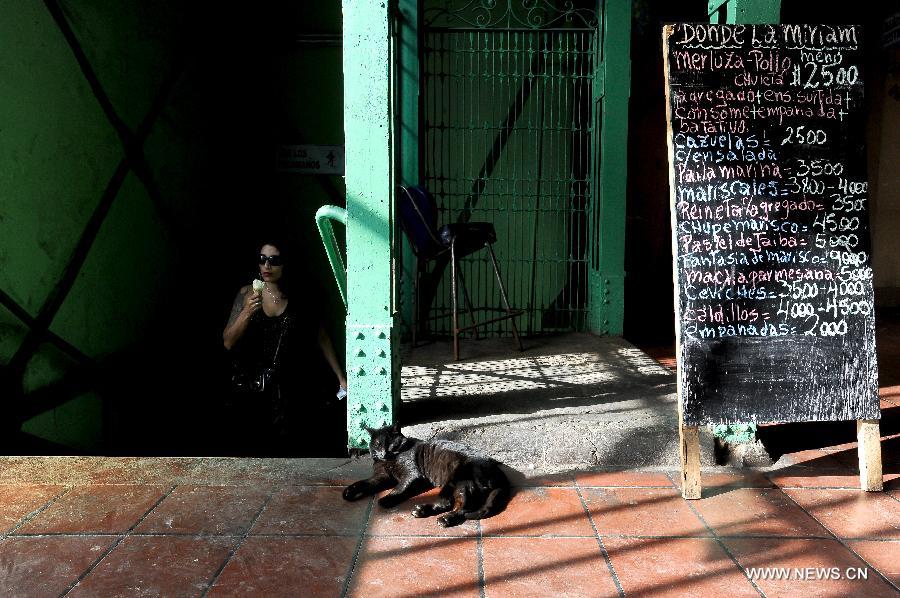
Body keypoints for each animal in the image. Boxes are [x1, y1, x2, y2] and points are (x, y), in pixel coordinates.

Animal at [342, 422, 510, 528]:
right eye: (377, 444)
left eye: (391, 443)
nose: (384, 452)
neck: (388, 461)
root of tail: (499, 472)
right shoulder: (382, 476)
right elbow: (365, 482)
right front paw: (349, 491)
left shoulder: (412, 474)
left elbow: (399, 488)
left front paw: (386, 500)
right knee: (448, 504)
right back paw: (421, 511)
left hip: (459, 483)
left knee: (461, 507)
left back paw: (444, 519)